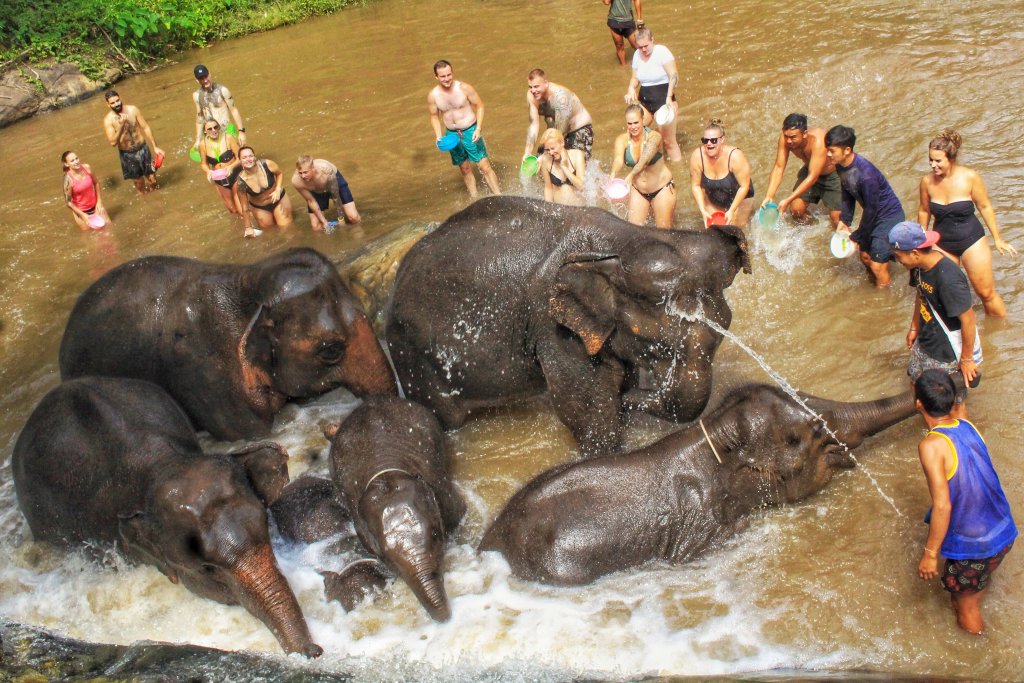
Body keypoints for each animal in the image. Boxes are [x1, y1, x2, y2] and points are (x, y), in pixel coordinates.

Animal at [387, 194, 749, 456]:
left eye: (724, 331)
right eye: (651, 343)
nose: (631, 399)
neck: (624, 240)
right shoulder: (555, 330)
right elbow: (588, 416)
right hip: (412, 354)